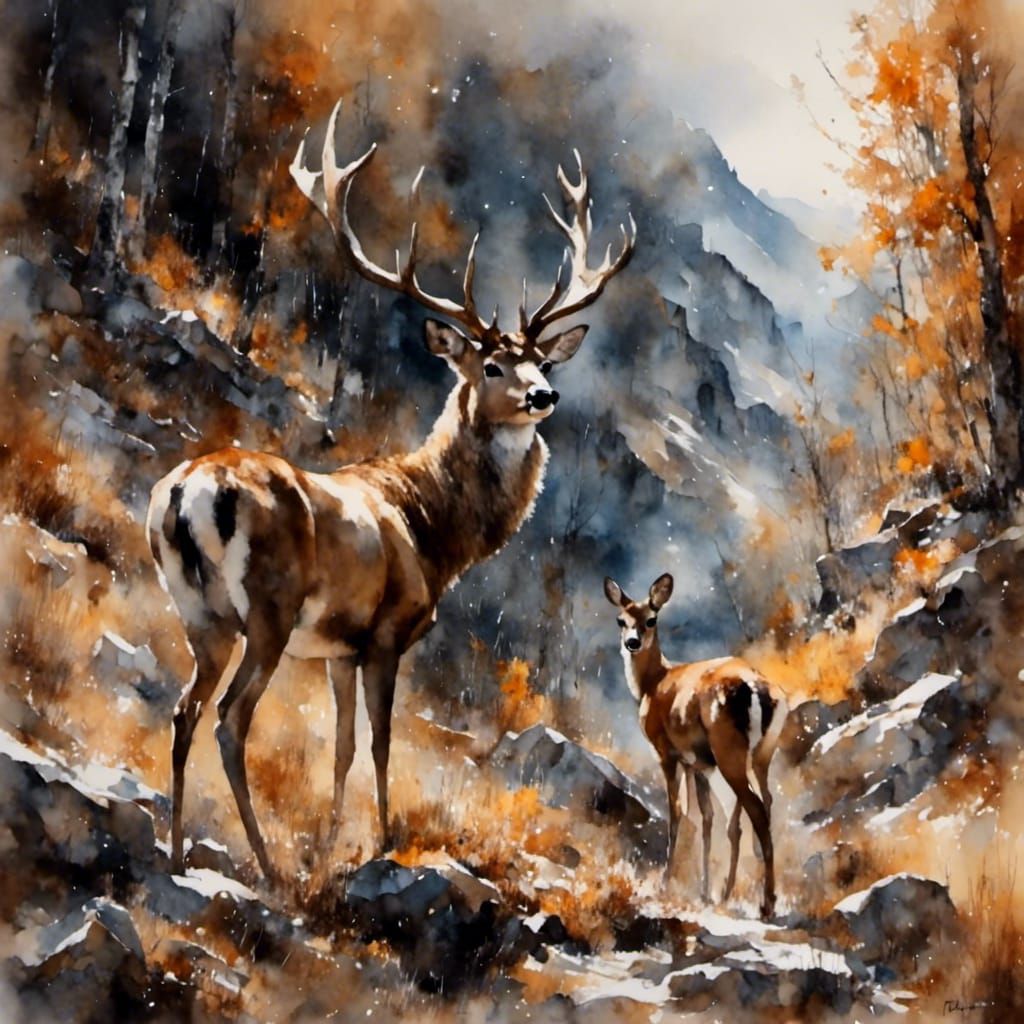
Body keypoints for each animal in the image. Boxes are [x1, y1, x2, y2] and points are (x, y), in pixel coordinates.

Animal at [146, 99, 636, 882]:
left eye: (539, 359)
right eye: (491, 366)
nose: (544, 394)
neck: (434, 528)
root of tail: (187, 492)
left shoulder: (339, 650)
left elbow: (343, 746)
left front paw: (329, 843)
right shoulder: (386, 631)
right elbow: (379, 743)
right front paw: (378, 840)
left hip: (199, 613)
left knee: (185, 711)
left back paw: (175, 848)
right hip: (267, 612)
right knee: (229, 720)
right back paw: (265, 864)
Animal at [603, 573, 787, 918]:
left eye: (651, 619)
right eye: (620, 620)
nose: (631, 642)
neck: (652, 683)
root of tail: (757, 688)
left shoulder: (666, 752)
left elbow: (678, 813)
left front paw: (667, 881)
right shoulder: (699, 764)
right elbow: (706, 818)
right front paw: (704, 890)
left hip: (729, 751)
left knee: (756, 808)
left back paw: (766, 903)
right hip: (761, 754)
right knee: (765, 804)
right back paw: (738, 893)